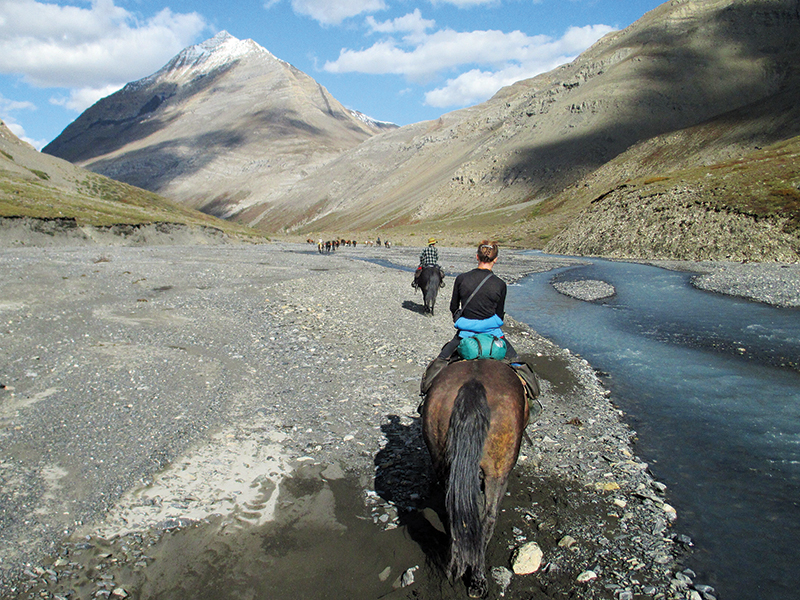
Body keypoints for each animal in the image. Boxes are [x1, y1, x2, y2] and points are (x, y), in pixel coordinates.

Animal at [421, 359, 529, 597]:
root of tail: (473, 385)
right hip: (497, 473)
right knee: (488, 518)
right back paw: (477, 579)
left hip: (444, 464)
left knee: (454, 512)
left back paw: (459, 568)